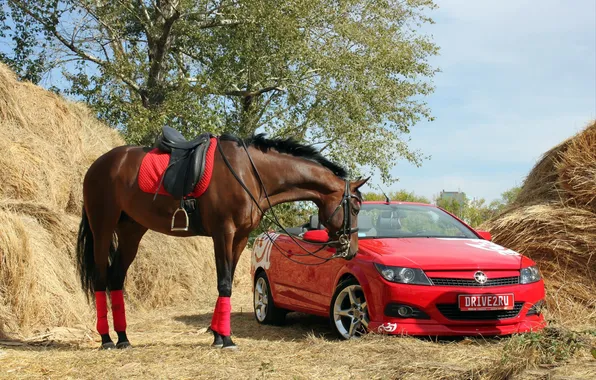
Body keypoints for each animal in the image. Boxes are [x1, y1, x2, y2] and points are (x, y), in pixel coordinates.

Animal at [75, 131, 368, 350]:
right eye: (355, 207)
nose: (352, 250)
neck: (250, 172)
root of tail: (98, 165)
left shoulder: (239, 237)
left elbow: (225, 283)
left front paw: (218, 335)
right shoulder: (223, 233)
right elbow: (224, 282)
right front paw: (225, 339)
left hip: (131, 231)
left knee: (116, 279)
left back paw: (123, 338)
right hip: (102, 228)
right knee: (101, 279)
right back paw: (106, 339)